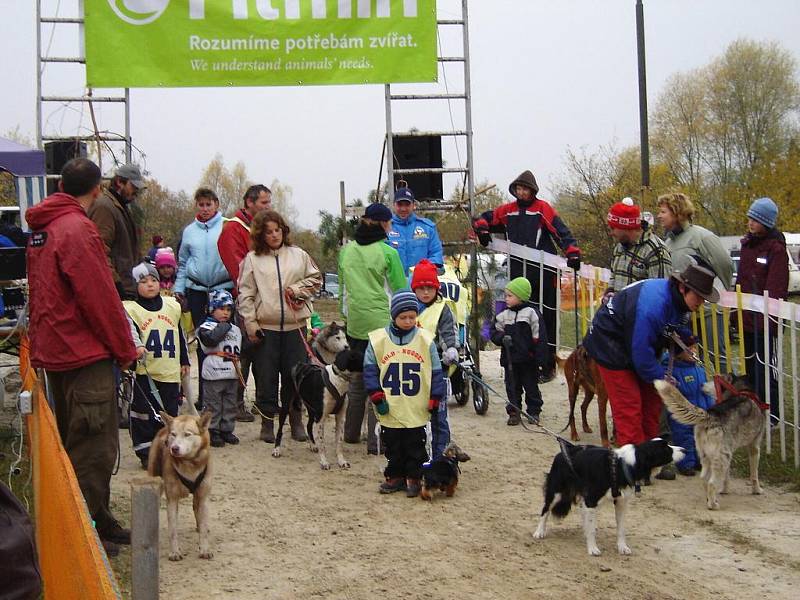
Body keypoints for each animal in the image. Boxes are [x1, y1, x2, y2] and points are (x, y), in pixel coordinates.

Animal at [148, 410, 212, 560]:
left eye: (187, 434)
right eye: (173, 434)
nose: (174, 448)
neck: (189, 464)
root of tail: (163, 428)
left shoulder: (203, 496)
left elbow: (204, 527)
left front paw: (204, 549)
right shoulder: (172, 499)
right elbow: (173, 529)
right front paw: (175, 552)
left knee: (196, 508)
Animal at [536, 438, 684, 556]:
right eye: (666, 448)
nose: (684, 449)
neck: (621, 466)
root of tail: (565, 451)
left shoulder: (621, 502)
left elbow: (621, 528)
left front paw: (622, 547)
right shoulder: (591, 500)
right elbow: (592, 529)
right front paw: (592, 548)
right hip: (556, 492)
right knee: (545, 510)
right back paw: (539, 532)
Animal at [656, 376, 764, 510]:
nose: (701, 384)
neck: (742, 391)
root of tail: (709, 416)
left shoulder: (730, 454)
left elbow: (726, 478)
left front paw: (724, 490)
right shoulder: (754, 447)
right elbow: (754, 474)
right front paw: (757, 490)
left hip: (707, 457)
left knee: (704, 480)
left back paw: (709, 499)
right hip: (721, 458)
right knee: (711, 483)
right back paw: (713, 505)